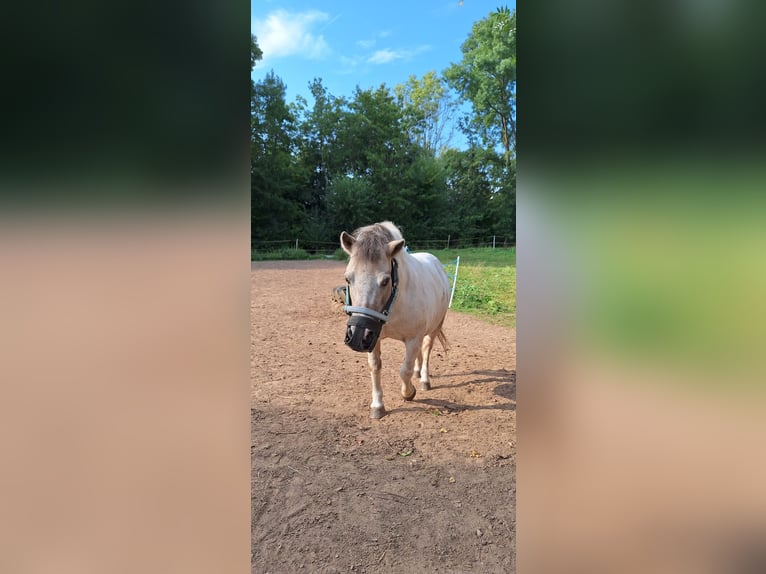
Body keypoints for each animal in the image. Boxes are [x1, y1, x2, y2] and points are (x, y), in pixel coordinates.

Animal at [340, 221, 450, 419]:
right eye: (348, 278)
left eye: (385, 280)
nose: (357, 335)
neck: (393, 305)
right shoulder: (373, 337)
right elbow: (375, 367)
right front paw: (377, 406)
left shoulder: (413, 339)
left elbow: (404, 370)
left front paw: (409, 393)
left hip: (434, 328)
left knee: (426, 351)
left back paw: (424, 379)